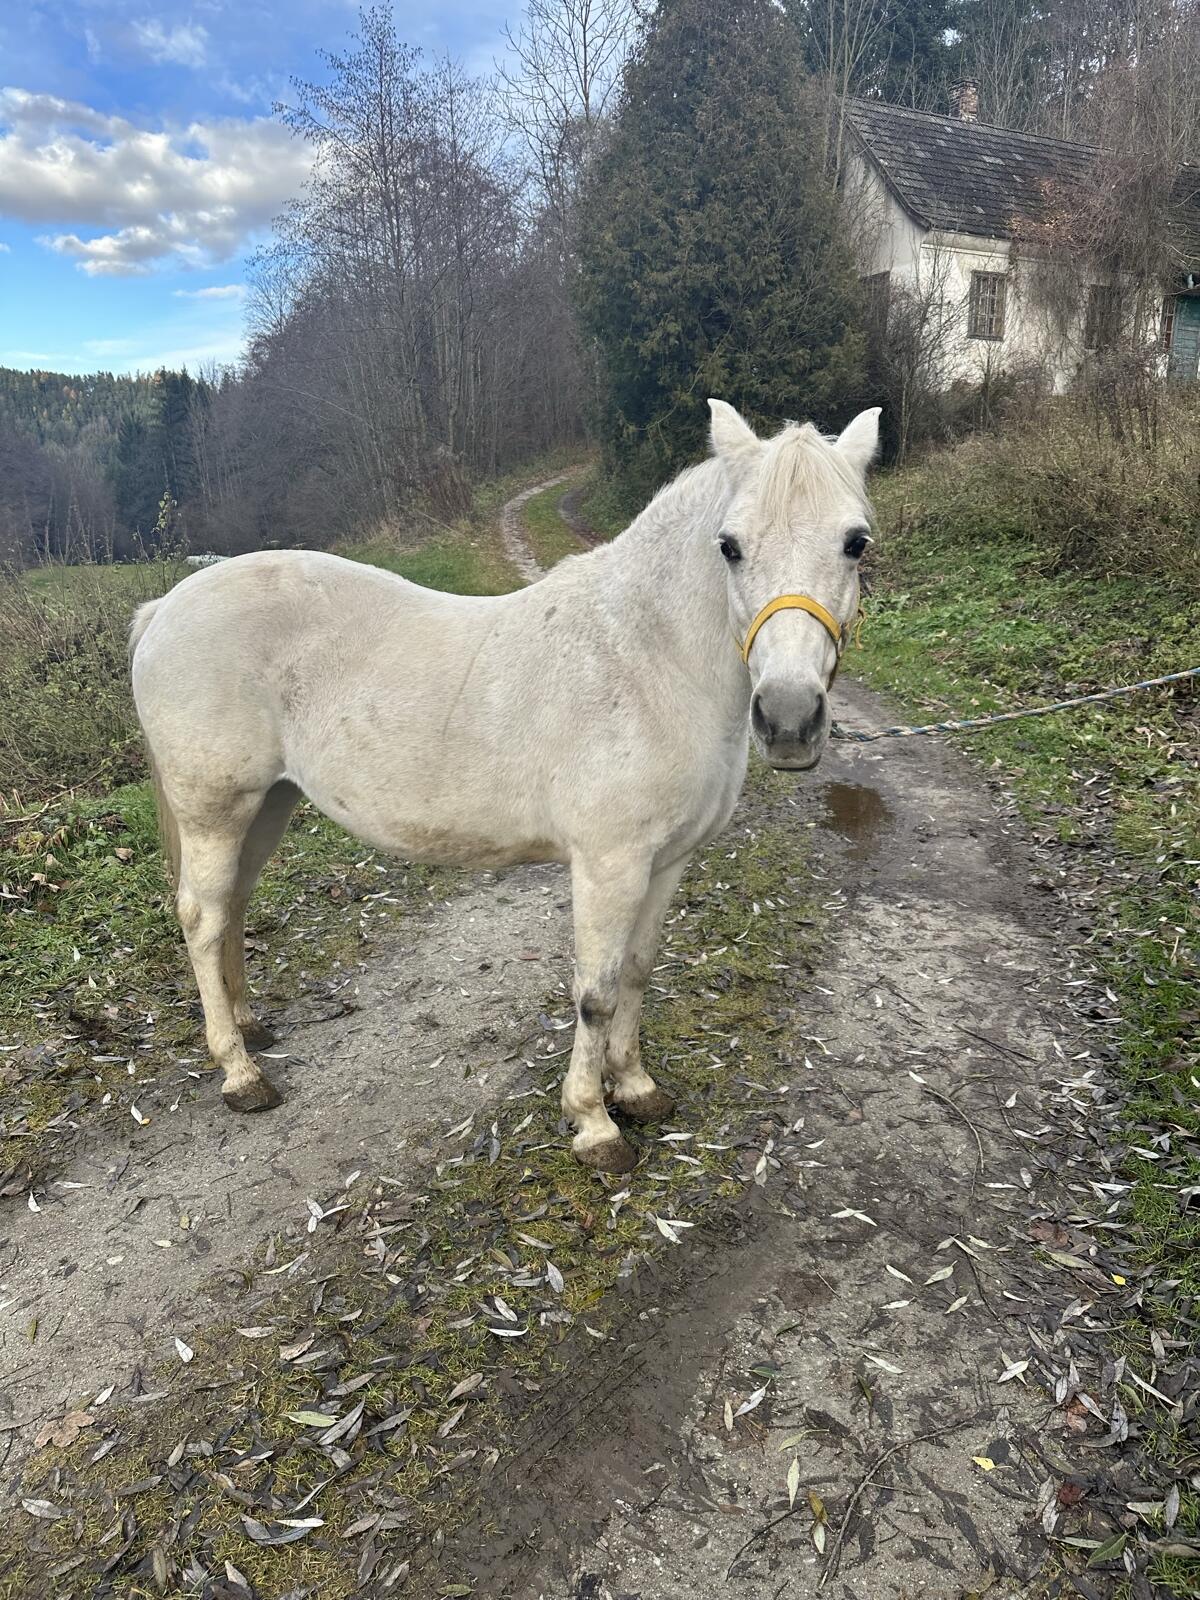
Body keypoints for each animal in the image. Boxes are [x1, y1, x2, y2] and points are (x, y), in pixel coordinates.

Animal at [130, 400, 880, 1174]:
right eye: (729, 546)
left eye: (855, 543)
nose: (788, 718)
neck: (643, 660)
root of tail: (164, 610)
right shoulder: (609, 866)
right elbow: (596, 991)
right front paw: (593, 1123)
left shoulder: (667, 861)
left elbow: (637, 972)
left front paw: (636, 1088)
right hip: (216, 810)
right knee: (203, 917)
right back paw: (239, 1072)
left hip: (268, 805)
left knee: (233, 908)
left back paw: (252, 1027)